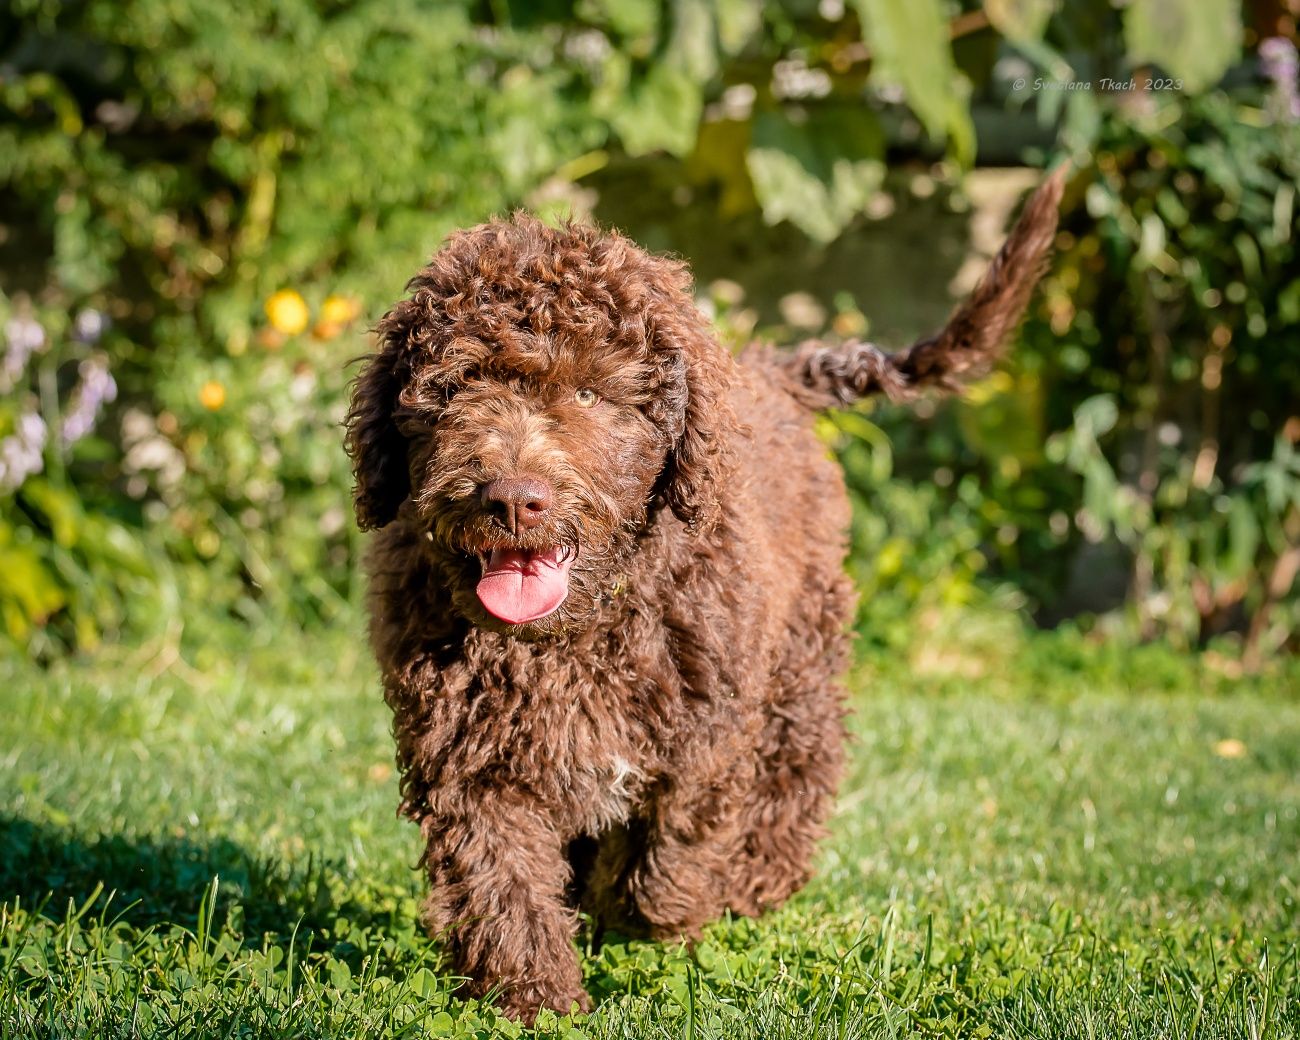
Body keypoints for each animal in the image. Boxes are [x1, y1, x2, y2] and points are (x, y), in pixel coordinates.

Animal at [345, 166, 1066, 1019]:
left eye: (591, 395)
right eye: (457, 389)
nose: (514, 499)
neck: (573, 633)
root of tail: (771, 371)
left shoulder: (705, 735)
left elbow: (662, 865)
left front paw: (651, 918)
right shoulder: (469, 759)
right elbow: (502, 880)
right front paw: (533, 999)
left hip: (799, 667)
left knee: (794, 778)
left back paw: (753, 889)